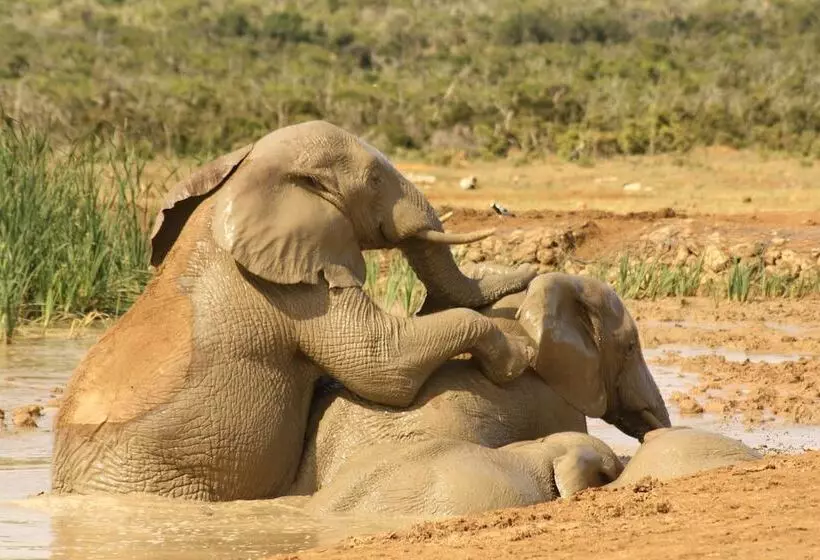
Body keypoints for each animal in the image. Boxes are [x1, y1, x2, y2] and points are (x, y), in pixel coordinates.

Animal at [51, 121, 537, 502]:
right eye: (375, 181)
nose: (531, 267)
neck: (243, 178)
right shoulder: (294, 291)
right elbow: (382, 367)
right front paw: (518, 357)